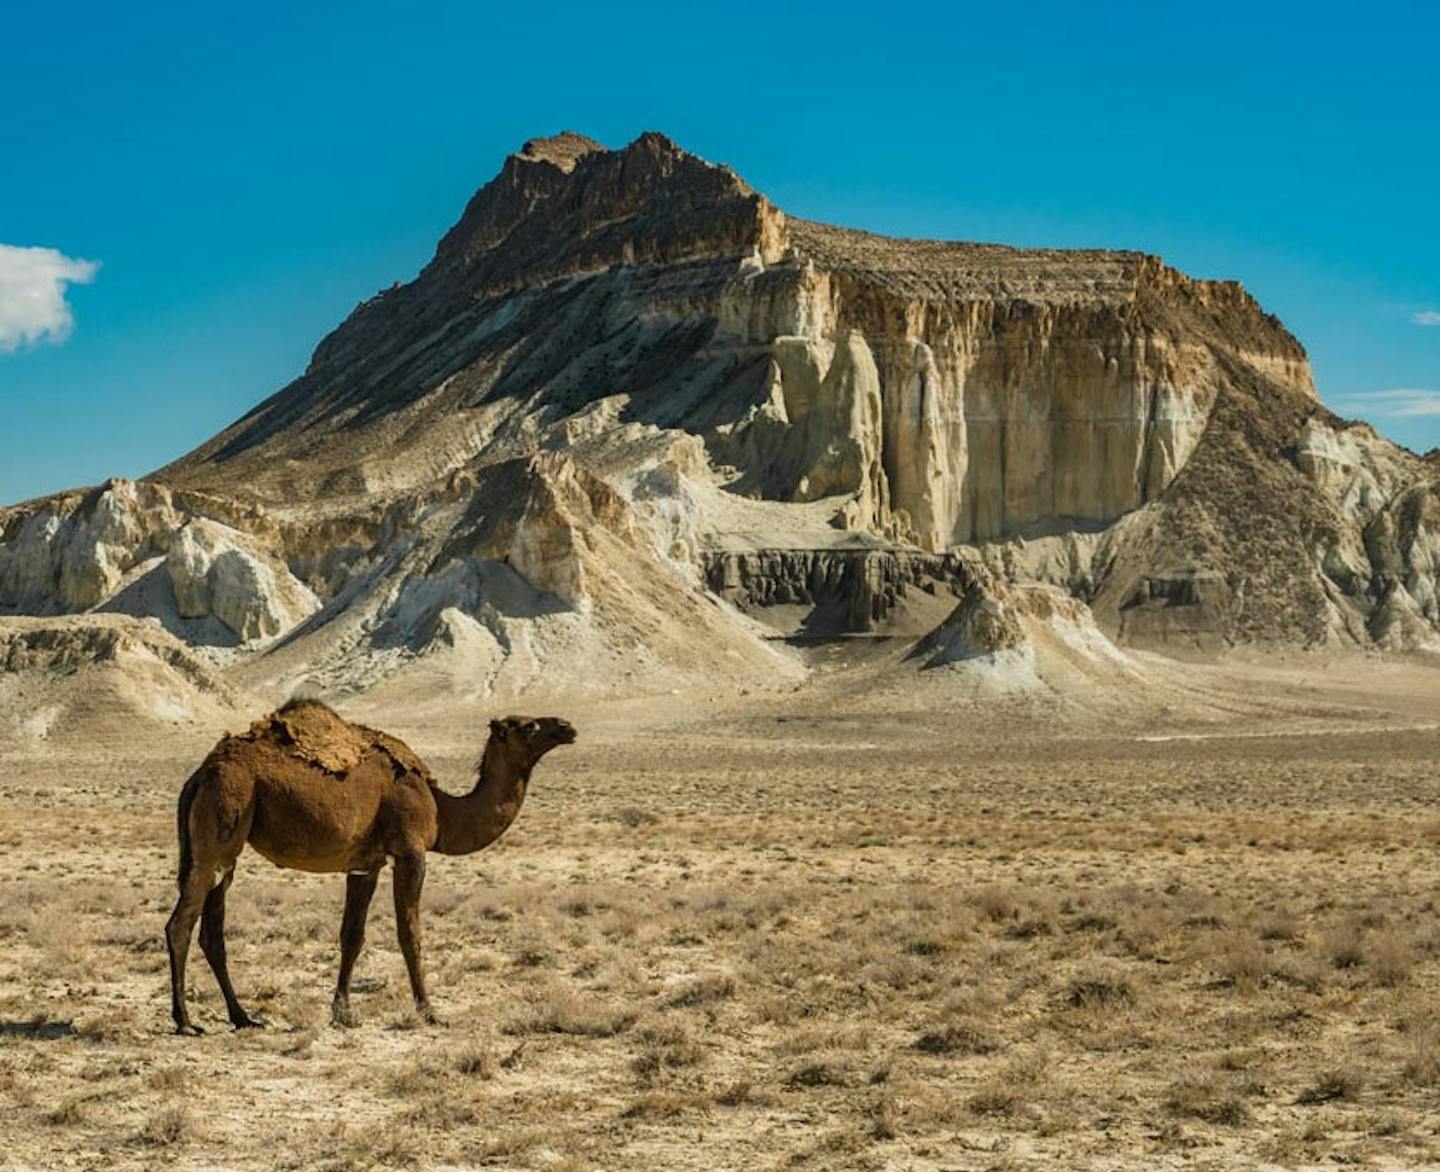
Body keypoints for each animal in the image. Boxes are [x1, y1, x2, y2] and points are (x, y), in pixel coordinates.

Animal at [165, 696, 576, 1036]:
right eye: (528, 726)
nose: (567, 727)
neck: (441, 809)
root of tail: (199, 775)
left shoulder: (366, 864)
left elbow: (352, 935)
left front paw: (342, 1013)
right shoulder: (410, 851)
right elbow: (410, 934)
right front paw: (429, 1012)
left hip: (226, 845)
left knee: (213, 931)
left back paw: (243, 1017)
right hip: (224, 813)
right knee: (180, 924)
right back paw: (185, 1022)